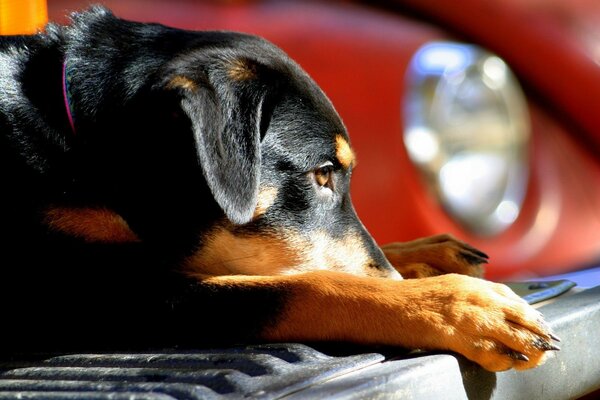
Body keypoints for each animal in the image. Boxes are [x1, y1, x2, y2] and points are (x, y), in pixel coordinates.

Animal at [0, 7, 560, 372]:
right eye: (321, 173)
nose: (395, 278)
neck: (82, 145)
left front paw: (429, 256)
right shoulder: (92, 292)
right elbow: (305, 286)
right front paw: (457, 305)